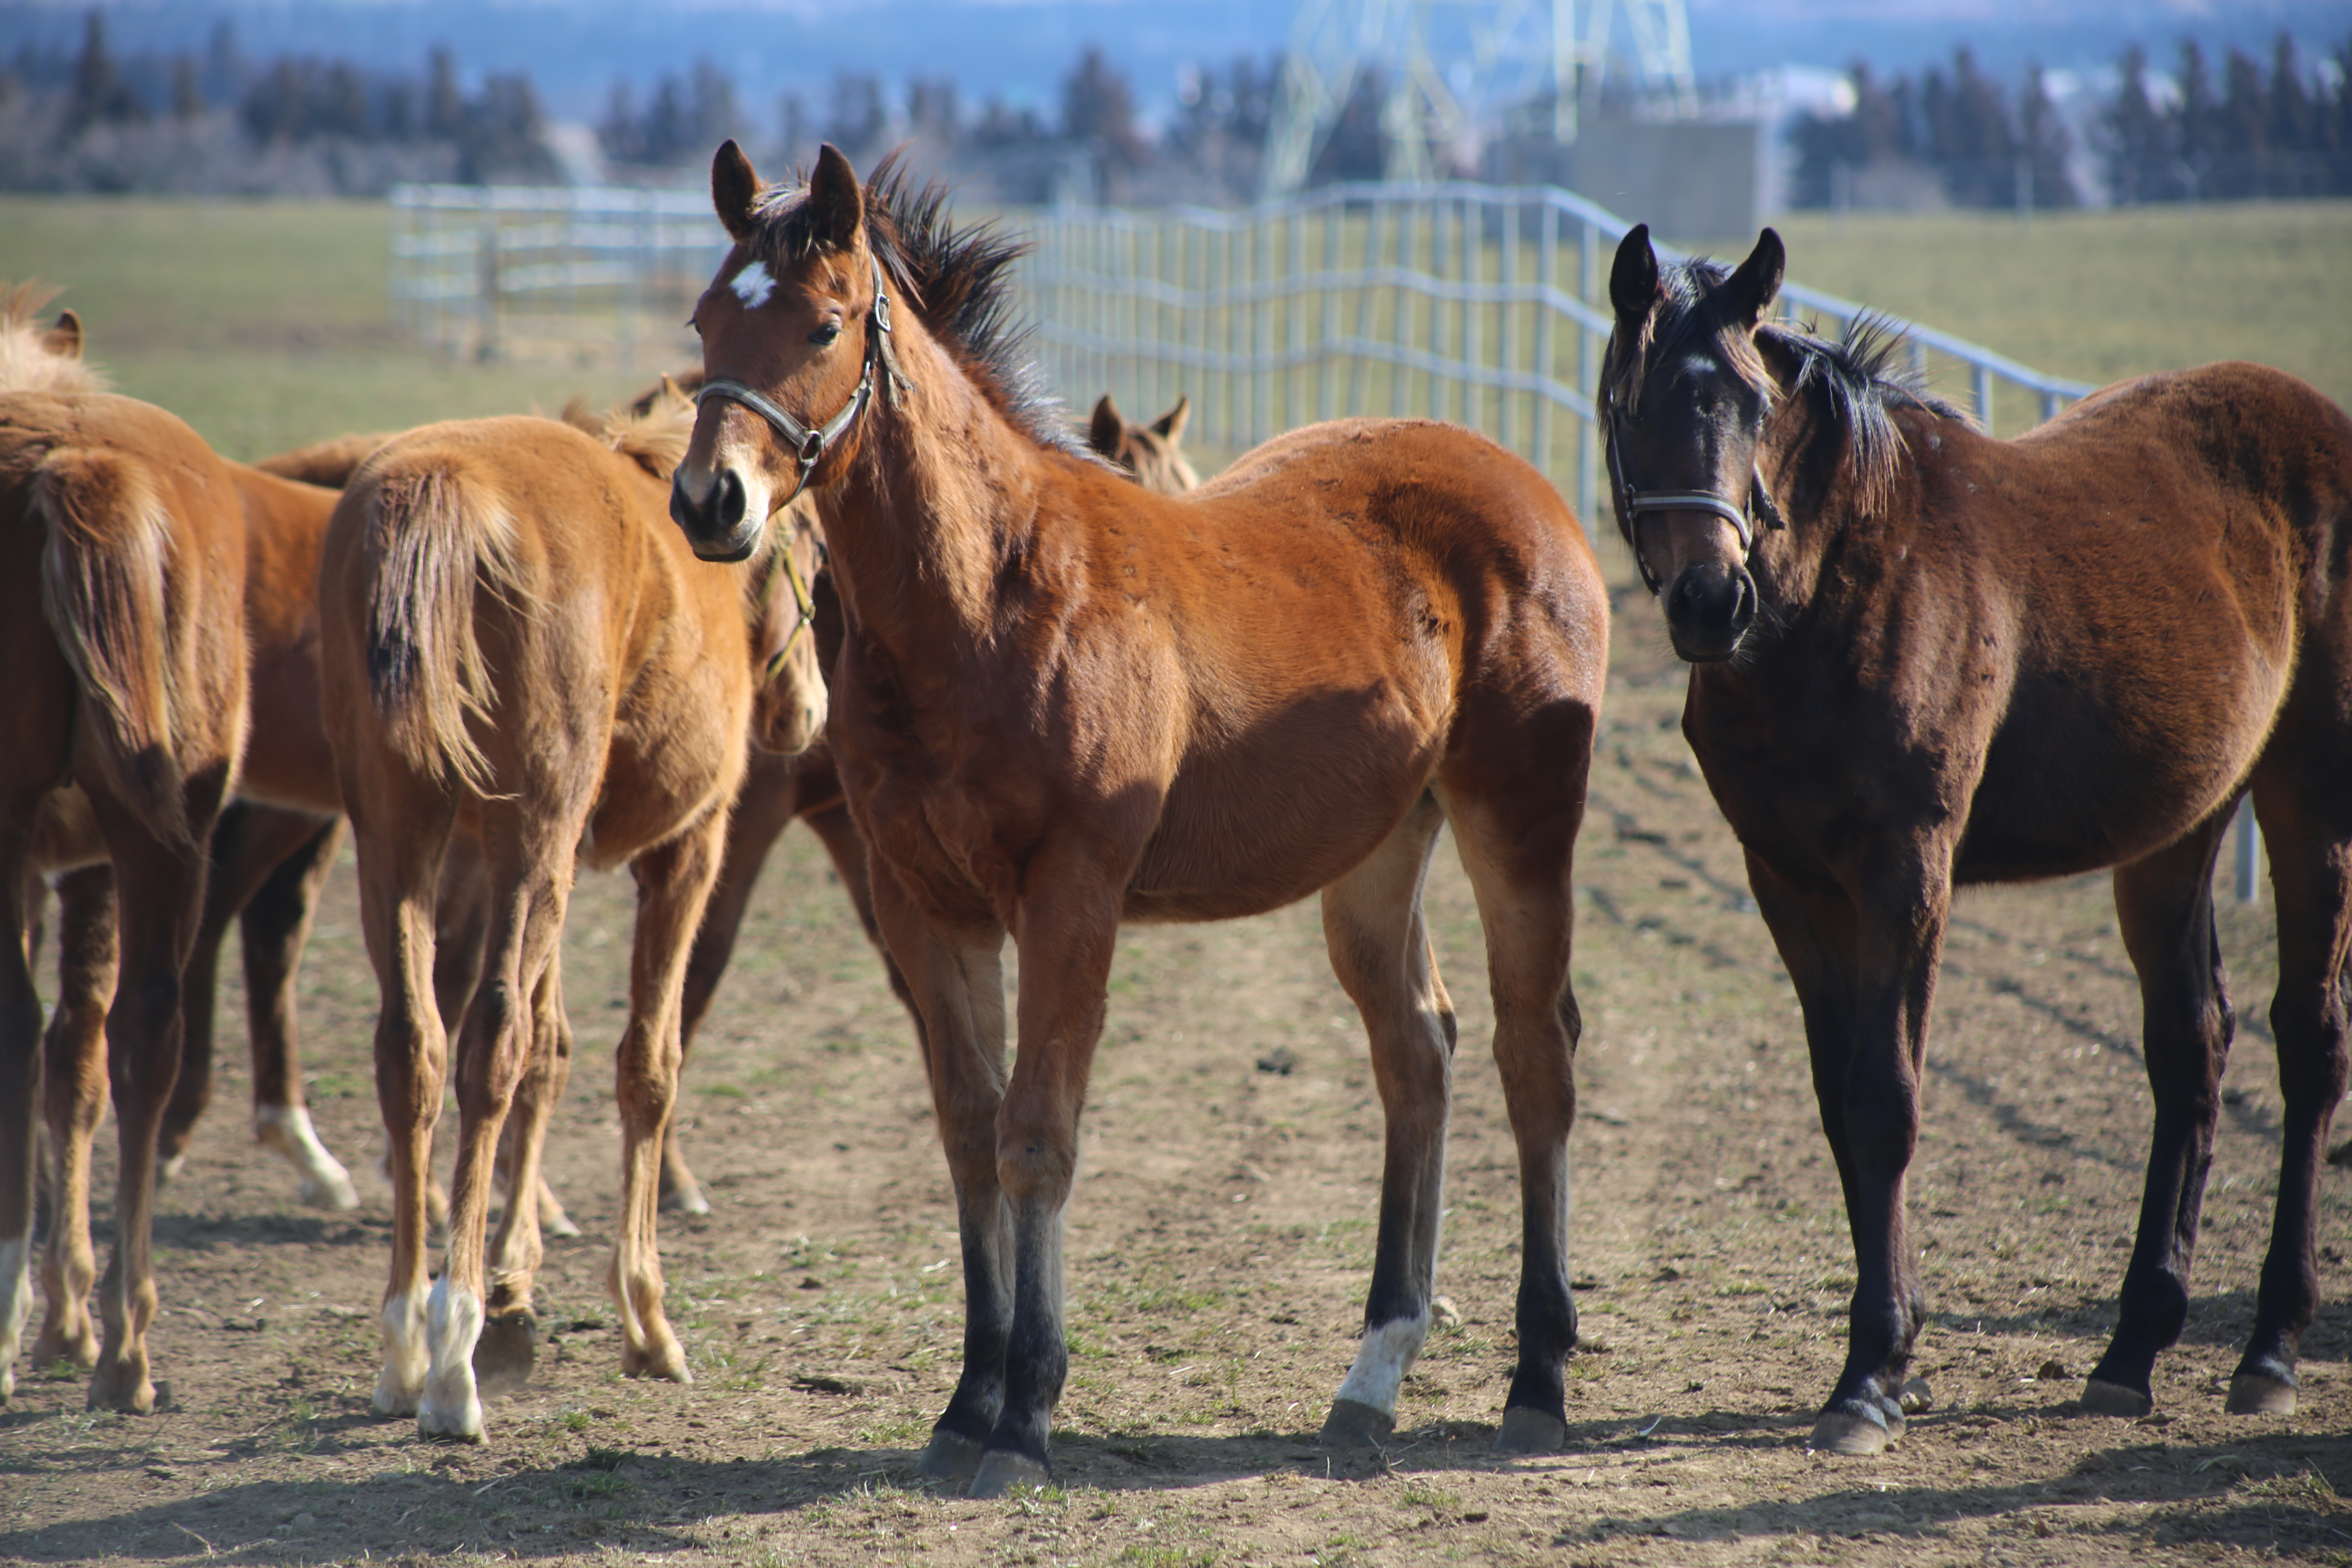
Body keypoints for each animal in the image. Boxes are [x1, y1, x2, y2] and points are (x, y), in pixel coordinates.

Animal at [317, 395, 823, 1448]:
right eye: (816, 554)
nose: (805, 714)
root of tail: (445, 485)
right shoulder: (687, 850)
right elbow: (645, 1065)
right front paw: (643, 1318)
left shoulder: (517, 858)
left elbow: (548, 1059)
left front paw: (518, 1291)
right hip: (534, 831)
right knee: (490, 1044)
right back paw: (452, 1355)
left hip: (404, 833)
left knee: (415, 1049)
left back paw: (405, 1342)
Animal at [663, 147, 1608, 1495]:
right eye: (704, 322)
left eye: (824, 323)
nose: (711, 501)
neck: (991, 596)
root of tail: (1527, 485)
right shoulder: (925, 900)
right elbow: (970, 1131)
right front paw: (966, 1400)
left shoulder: (1073, 895)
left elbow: (1038, 1134)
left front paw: (1025, 1414)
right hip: (1378, 854)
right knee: (1417, 1055)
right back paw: (1372, 1374)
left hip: (1519, 821)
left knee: (1537, 1058)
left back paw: (1537, 1378)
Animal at [1599, 223, 2352, 1457]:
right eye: (1632, 401)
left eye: (1751, 403)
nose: (1712, 600)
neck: (1841, 587)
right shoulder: (1789, 882)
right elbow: (1838, 1101)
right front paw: (1888, 1354)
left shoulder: (1907, 869)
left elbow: (1886, 1101)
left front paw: (1869, 1376)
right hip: (2175, 830)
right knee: (2189, 1047)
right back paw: (2131, 1350)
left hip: (2307, 797)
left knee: (2310, 1042)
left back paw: (2270, 1350)